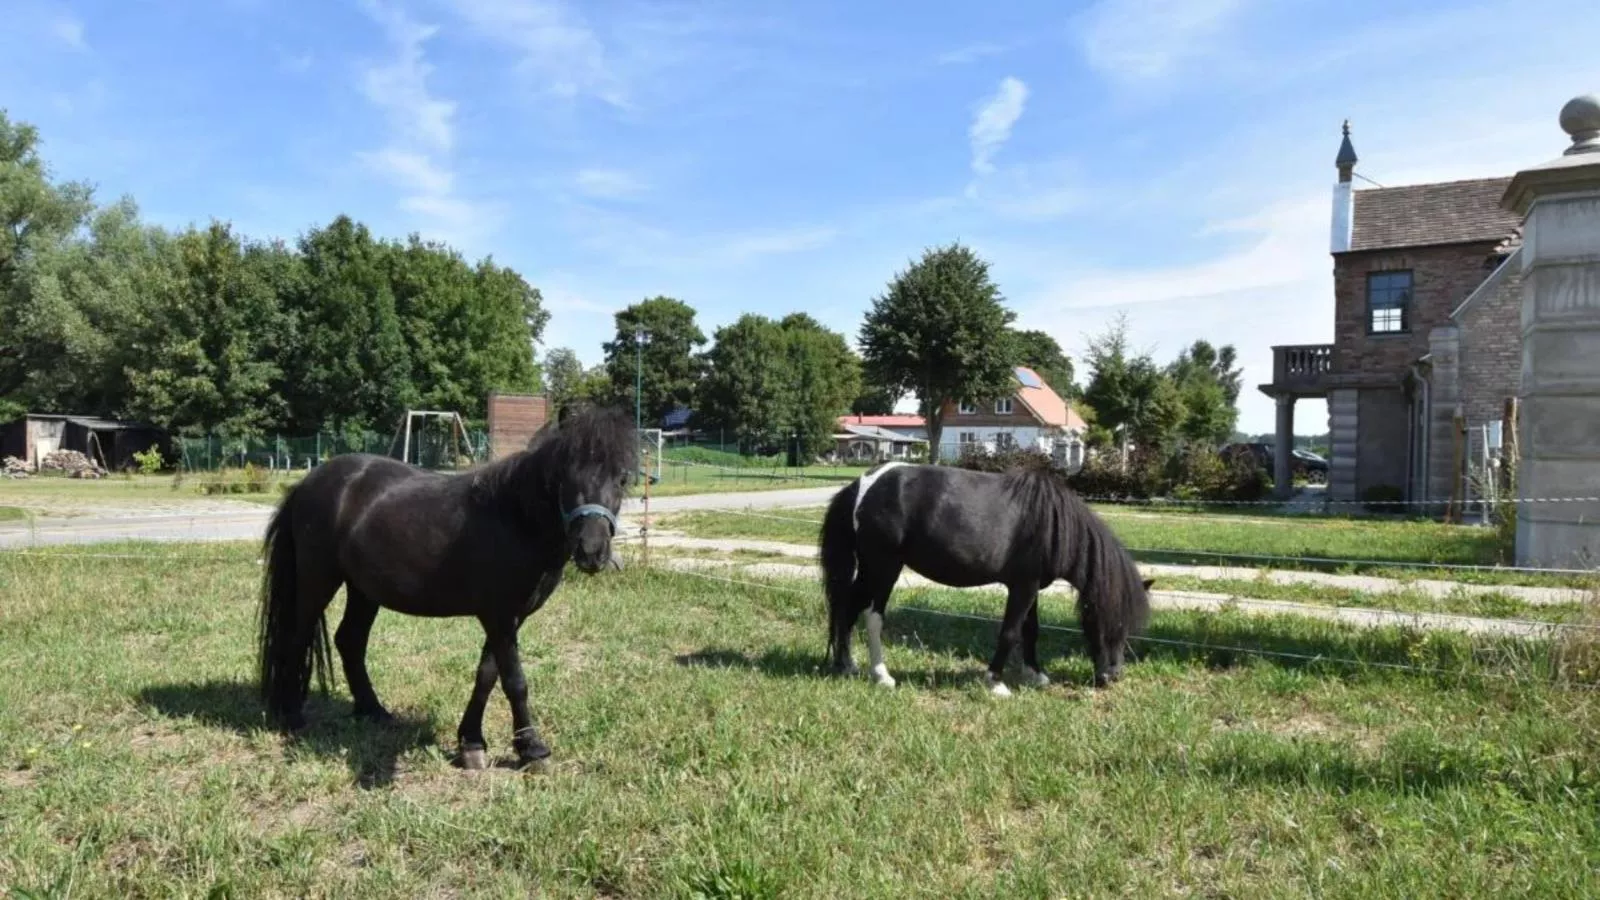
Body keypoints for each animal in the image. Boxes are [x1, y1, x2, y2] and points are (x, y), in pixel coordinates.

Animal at [256, 405, 636, 762]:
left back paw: (374, 711)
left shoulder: (511, 618)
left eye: (622, 478)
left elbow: (487, 674)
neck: (513, 517)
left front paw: (471, 742)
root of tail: (306, 484)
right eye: (564, 476)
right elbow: (515, 681)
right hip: (317, 580)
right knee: (297, 638)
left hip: (363, 590)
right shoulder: (498, 616)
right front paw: (531, 748)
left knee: (349, 641)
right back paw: (292, 717)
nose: (592, 551)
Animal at [825, 458, 1152, 688]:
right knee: (872, 616)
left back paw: (847, 665)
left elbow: (1031, 630)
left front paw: (1036, 674)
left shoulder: (1032, 588)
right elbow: (1010, 631)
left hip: (870, 569)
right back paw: (881, 675)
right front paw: (995, 682)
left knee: (847, 609)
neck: (1050, 523)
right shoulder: (1022, 587)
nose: (1112, 677)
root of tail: (863, 485)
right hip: (884, 569)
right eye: (1112, 622)